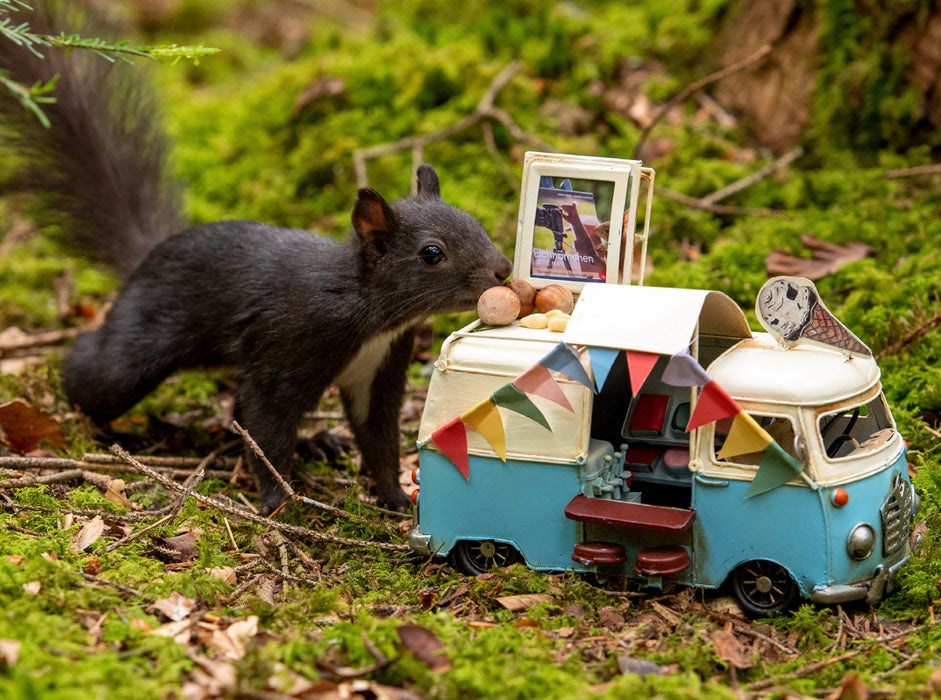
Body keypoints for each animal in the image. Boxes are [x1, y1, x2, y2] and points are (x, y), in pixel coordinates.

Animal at [0, 4, 513, 513]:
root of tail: (150, 254)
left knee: (234, 410)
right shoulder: (291, 343)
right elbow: (266, 421)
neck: (368, 310)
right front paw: (278, 501)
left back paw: (317, 442)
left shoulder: (380, 366)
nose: (504, 269)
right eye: (432, 253)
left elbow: (378, 437)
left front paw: (395, 497)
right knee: (98, 373)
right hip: (137, 347)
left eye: (476, 222)